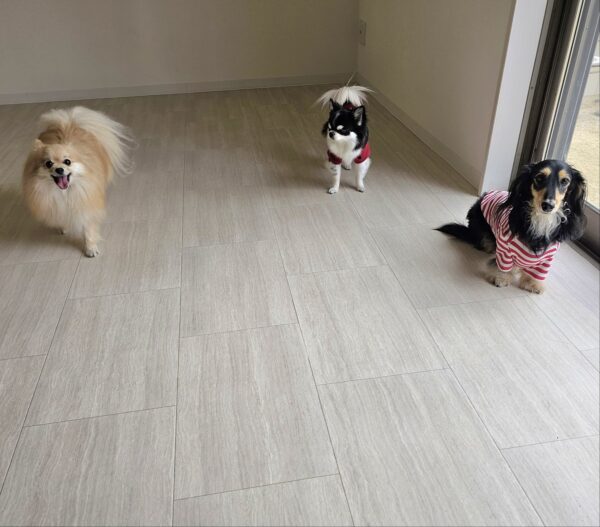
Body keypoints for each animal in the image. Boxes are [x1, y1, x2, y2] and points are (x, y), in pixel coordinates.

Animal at [22, 106, 132, 257]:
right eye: (48, 163)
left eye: (67, 161)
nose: (60, 169)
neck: (65, 193)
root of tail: (69, 122)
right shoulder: (55, 204)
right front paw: (63, 227)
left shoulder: (86, 204)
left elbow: (88, 229)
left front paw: (90, 248)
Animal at [437, 160, 587, 294]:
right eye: (539, 177)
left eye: (565, 181)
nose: (548, 205)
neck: (541, 219)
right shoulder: (504, 248)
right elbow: (503, 266)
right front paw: (501, 278)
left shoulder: (547, 257)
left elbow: (538, 272)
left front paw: (533, 284)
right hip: (484, 236)